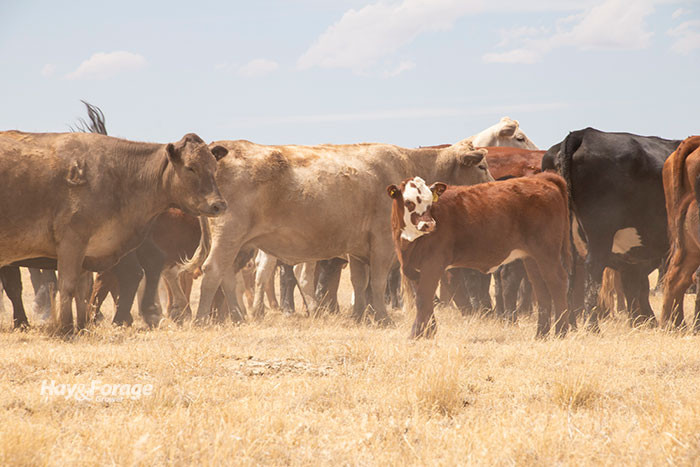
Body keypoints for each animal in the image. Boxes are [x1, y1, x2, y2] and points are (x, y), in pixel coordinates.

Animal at [0, 130, 228, 333]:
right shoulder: (72, 243)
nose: (219, 205)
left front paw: (79, 326)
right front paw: (67, 328)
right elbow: (69, 285)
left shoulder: (85, 248)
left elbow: (81, 288)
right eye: (190, 167)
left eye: (214, 166)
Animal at [185, 138, 494, 325]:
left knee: (227, 275)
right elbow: (377, 283)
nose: (493, 184)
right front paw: (382, 317)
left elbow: (359, 282)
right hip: (229, 236)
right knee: (213, 271)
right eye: (481, 165)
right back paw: (201, 319)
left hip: (237, 243)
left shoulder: (357, 250)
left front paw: (360, 316)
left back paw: (239, 317)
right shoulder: (383, 244)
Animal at [388, 173, 571, 338]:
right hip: (532, 257)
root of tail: (542, 178)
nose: (429, 224)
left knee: (557, 281)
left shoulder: (433, 265)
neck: (408, 242)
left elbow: (423, 299)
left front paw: (416, 334)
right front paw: (428, 332)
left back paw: (561, 332)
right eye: (409, 202)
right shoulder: (413, 269)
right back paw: (542, 334)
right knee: (541, 287)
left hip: (547, 251)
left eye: (430, 202)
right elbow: (426, 300)